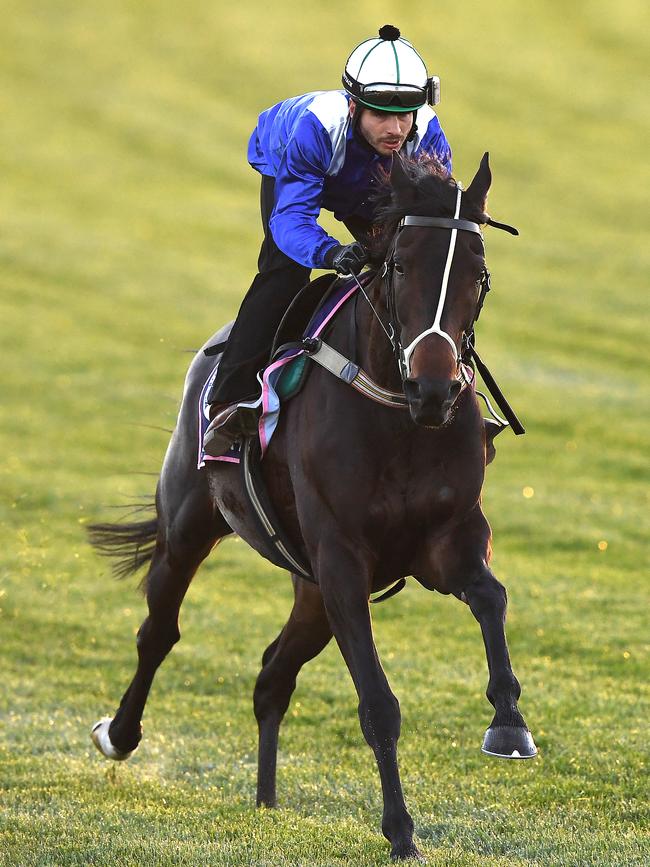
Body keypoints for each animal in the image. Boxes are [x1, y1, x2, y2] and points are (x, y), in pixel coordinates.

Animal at [88, 154, 536, 860]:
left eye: (478, 272)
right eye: (400, 264)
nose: (434, 387)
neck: (400, 419)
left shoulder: (445, 539)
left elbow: (492, 597)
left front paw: (509, 722)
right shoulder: (342, 557)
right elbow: (378, 704)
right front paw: (400, 832)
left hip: (312, 592)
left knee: (273, 673)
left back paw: (267, 801)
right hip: (193, 523)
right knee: (159, 630)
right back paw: (120, 735)